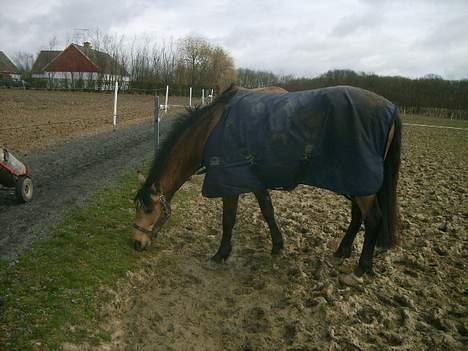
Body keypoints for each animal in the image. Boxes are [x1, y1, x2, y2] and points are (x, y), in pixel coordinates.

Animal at [133, 84, 402, 278]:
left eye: (148, 209)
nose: (136, 244)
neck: (212, 129)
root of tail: (390, 108)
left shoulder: (230, 183)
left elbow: (228, 220)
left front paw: (220, 254)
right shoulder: (255, 181)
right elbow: (267, 211)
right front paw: (277, 245)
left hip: (361, 184)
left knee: (373, 219)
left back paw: (362, 266)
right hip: (356, 182)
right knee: (358, 216)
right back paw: (342, 251)